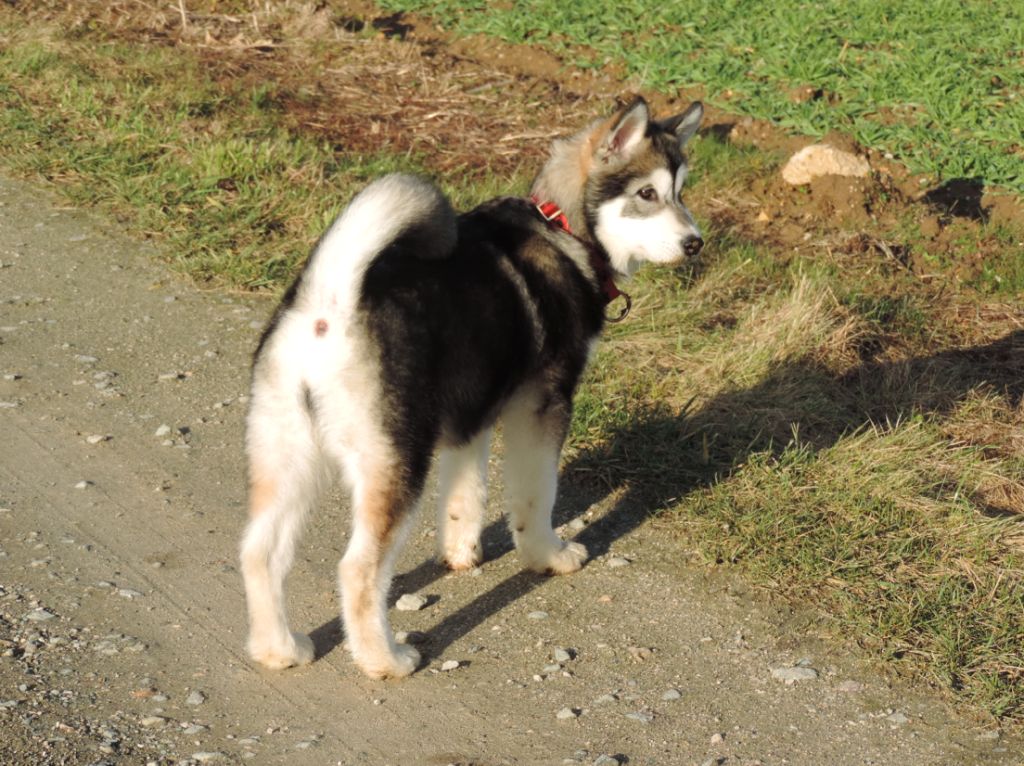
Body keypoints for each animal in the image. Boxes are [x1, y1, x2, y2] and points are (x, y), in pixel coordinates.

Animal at [239, 97, 704, 684]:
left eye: (682, 191)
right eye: (647, 194)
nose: (696, 243)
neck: (561, 227)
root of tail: (330, 305)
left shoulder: (471, 413)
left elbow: (466, 491)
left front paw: (461, 552)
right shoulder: (543, 406)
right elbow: (536, 496)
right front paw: (548, 555)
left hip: (286, 453)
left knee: (259, 550)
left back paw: (278, 648)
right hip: (395, 464)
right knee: (358, 570)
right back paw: (385, 659)